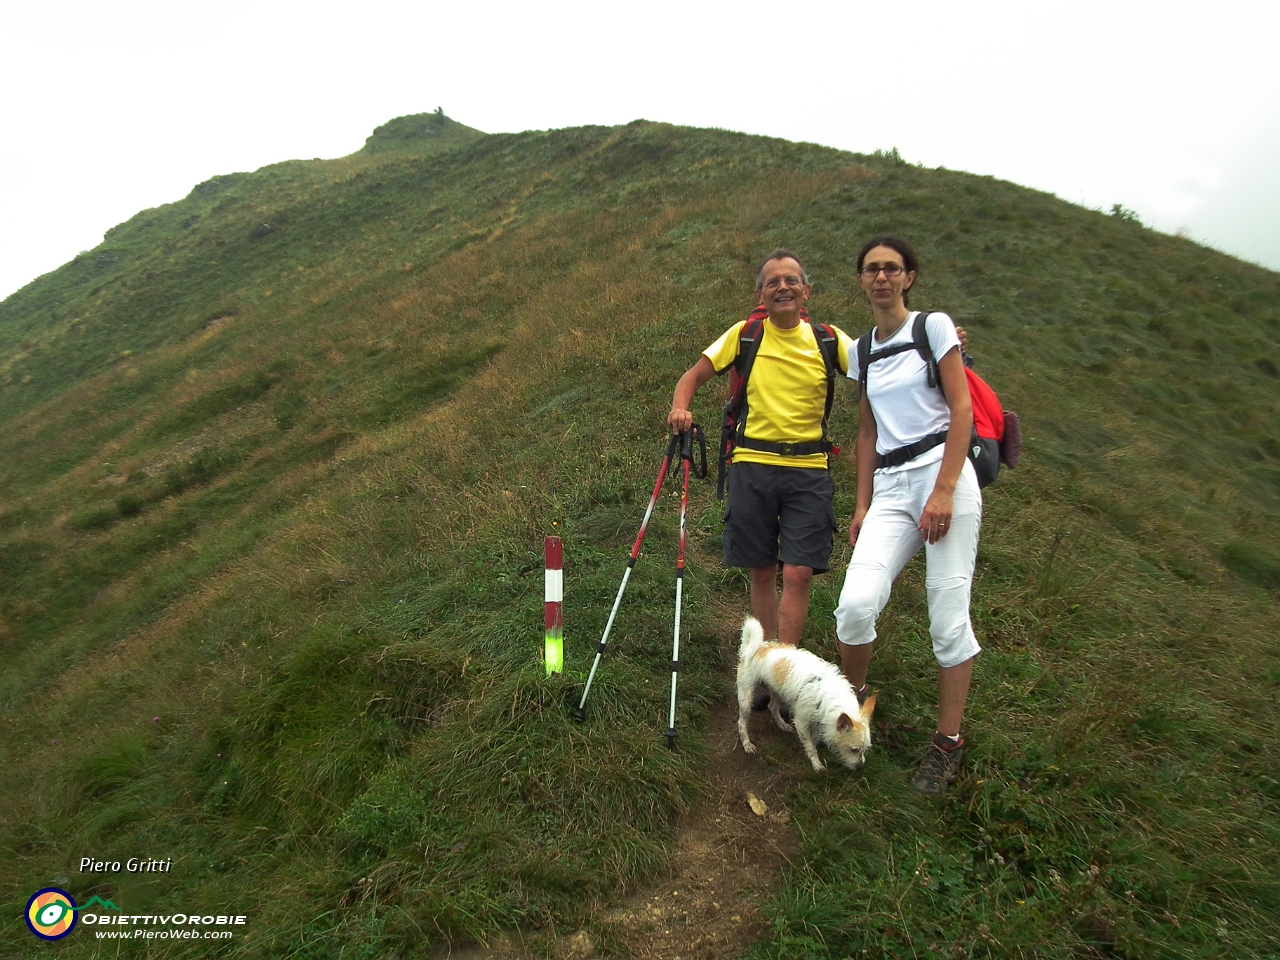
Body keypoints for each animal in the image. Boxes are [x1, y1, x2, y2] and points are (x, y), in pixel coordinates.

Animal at [737, 616, 875, 773]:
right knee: (742, 723)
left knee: (772, 706)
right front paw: (816, 763)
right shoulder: (801, 722)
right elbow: (809, 744)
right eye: (853, 749)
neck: (830, 693)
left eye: (865, 749)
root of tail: (759, 646)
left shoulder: (816, 719)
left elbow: (813, 739)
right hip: (746, 699)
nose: (860, 767)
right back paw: (747, 744)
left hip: (778, 691)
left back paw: (782, 724)